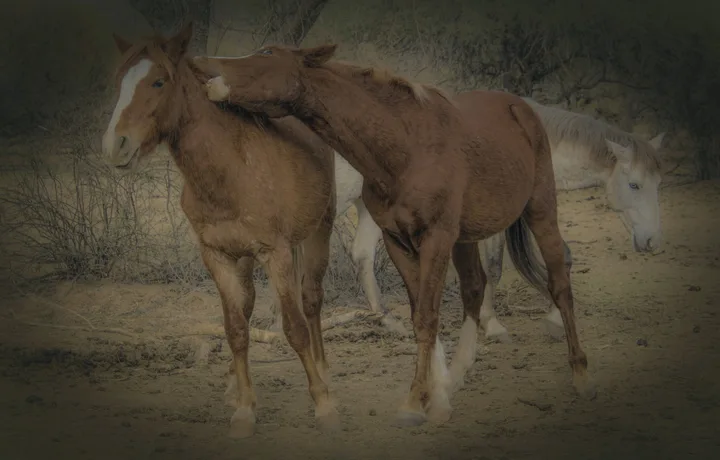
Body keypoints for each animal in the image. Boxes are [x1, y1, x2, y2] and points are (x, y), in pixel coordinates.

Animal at [101, 24, 343, 438]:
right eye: (119, 82)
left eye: (159, 81)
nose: (116, 145)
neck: (230, 168)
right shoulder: (216, 256)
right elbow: (235, 329)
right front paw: (244, 409)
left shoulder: (277, 254)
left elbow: (294, 327)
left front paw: (324, 404)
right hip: (243, 259)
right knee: (246, 307)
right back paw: (234, 385)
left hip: (318, 232)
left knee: (311, 300)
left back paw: (323, 371)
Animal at [194, 43, 596, 426]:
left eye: (266, 52)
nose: (201, 65)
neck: (405, 147)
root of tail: (520, 106)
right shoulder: (398, 241)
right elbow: (421, 312)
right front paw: (432, 398)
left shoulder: (435, 239)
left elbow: (428, 317)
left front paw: (415, 403)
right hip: (466, 238)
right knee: (473, 287)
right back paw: (455, 379)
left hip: (540, 210)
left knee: (560, 283)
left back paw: (580, 375)